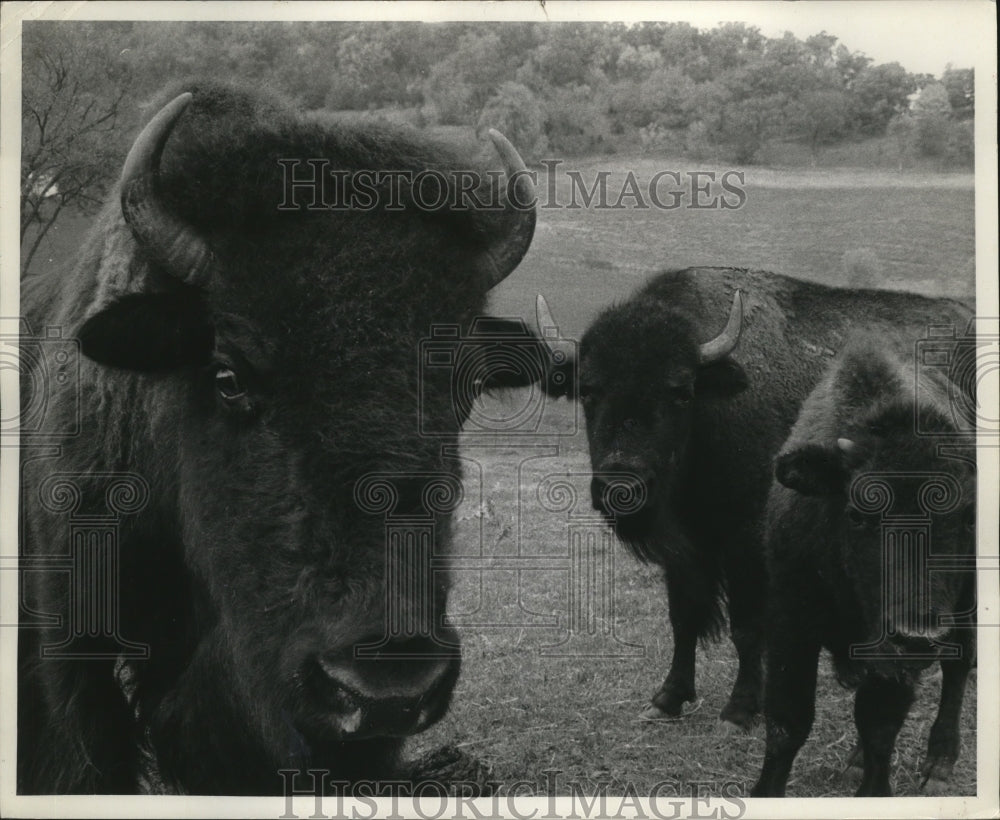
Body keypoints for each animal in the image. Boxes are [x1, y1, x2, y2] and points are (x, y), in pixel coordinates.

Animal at [538, 267, 973, 729]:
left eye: (680, 391)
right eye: (588, 390)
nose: (622, 484)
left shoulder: (745, 544)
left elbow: (745, 627)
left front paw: (740, 709)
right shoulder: (686, 550)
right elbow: (683, 618)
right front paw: (667, 698)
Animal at [751, 336, 976, 796]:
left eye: (967, 517)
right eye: (858, 513)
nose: (917, 635)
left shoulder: (895, 659)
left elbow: (879, 726)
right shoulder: (789, 622)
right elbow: (787, 722)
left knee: (959, 664)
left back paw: (940, 762)